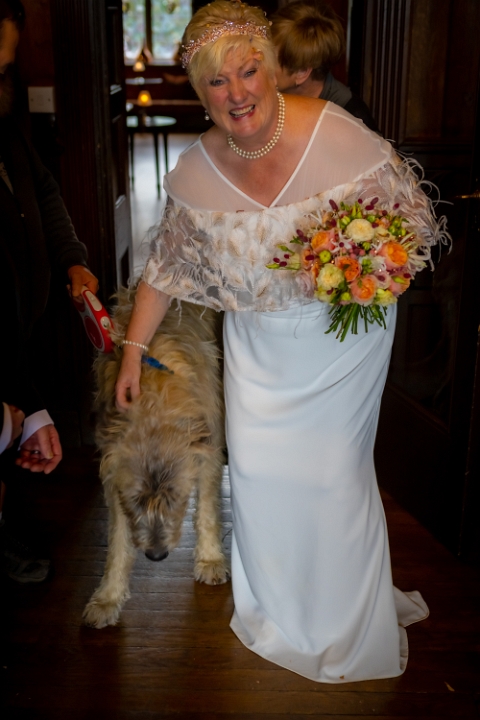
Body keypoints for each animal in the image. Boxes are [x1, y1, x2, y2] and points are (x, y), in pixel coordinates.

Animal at [83, 286, 228, 629]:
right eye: (136, 500)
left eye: (175, 497)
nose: (157, 556)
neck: (153, 404)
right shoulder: (115, 474)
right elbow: (118, 539)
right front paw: (108, 597)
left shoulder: (208, 448)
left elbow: (207, 508)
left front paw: (210, 557)